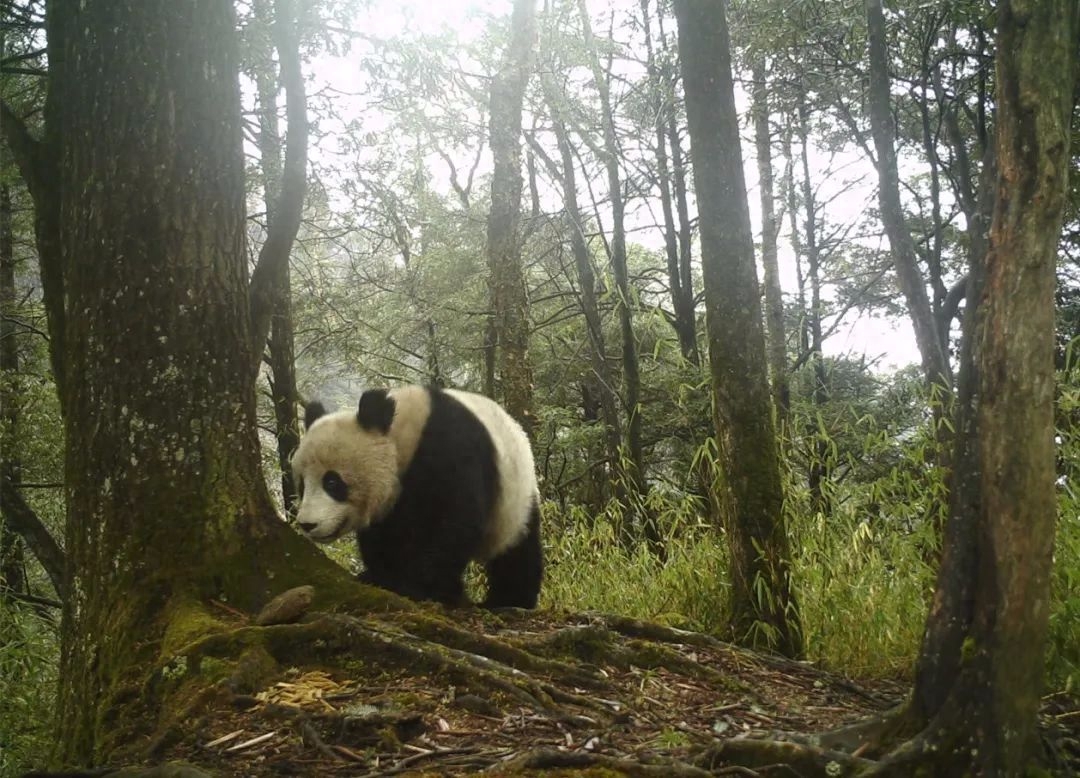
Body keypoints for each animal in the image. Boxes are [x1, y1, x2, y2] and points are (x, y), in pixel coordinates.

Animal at [291, 386, 544, 609]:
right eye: (302, 485)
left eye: (332, 482)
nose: (307, 524)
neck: (405, 438)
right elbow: (382, 537)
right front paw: (379, 575)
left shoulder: (452, 450)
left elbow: (454, 523)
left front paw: (416, 586)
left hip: (515, 499)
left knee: (517, 551)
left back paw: (510, 600)